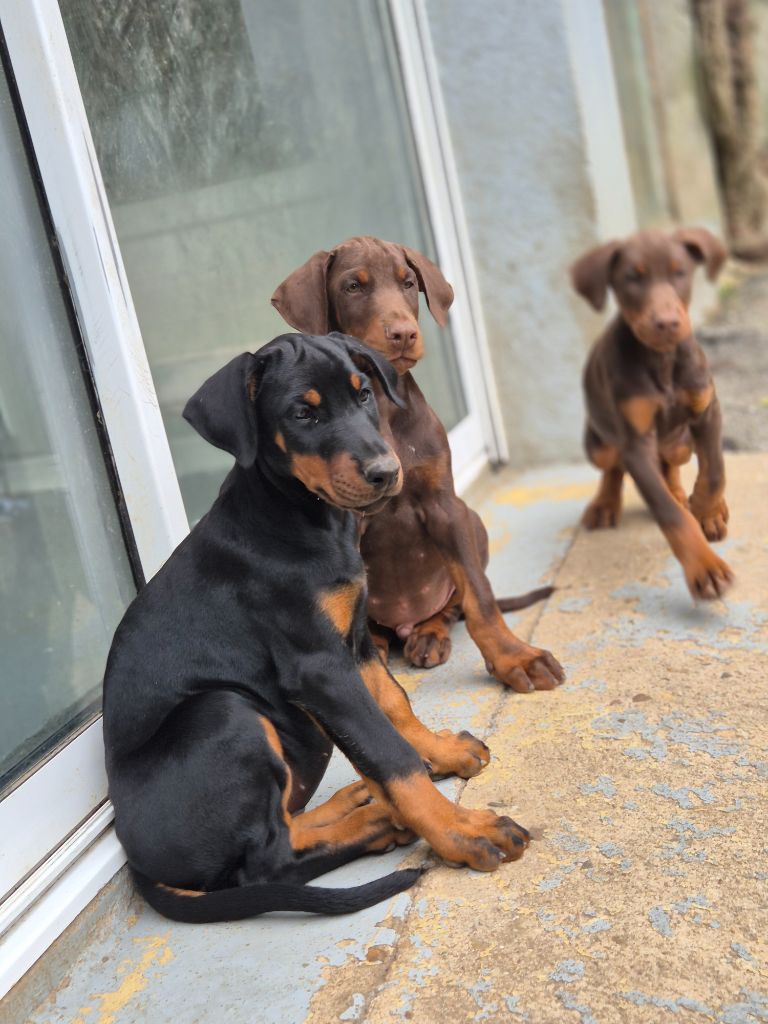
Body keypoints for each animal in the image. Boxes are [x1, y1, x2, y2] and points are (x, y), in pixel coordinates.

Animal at [103, 332, 529, 923]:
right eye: (302, 413)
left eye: (364, 394)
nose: (386, 472)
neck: (300, 517)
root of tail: (135, 860)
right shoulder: (319, 668)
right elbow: (388, 753)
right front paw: (459, 830)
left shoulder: (354, 641)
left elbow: (394, 705)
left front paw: (440, 753)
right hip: (225, 711)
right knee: (267, 863)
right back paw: (377, 823)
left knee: (280, 827)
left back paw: (356, 804)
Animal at [272, 237, 564, 694]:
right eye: (353, 286)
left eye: (408, 282)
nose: (404, 333)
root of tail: (402, 625)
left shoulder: (444, 505)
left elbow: (480, 596)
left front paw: (515, 656)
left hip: (472, 521)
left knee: (453, 606)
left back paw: (429, 633)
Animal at [570, 226, 733, 600]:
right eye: (632, 277)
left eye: (680, 272)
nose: (667, 323)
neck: (661, 358)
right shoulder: (634, 441)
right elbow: (668, 512)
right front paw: (705, 567)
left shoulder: (707, 409)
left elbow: (715, 469)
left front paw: (707, 510)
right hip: (600, 443)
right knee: (612, 468)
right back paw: (604, 505)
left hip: (681, 444)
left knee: (671, 464)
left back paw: (685, 494)